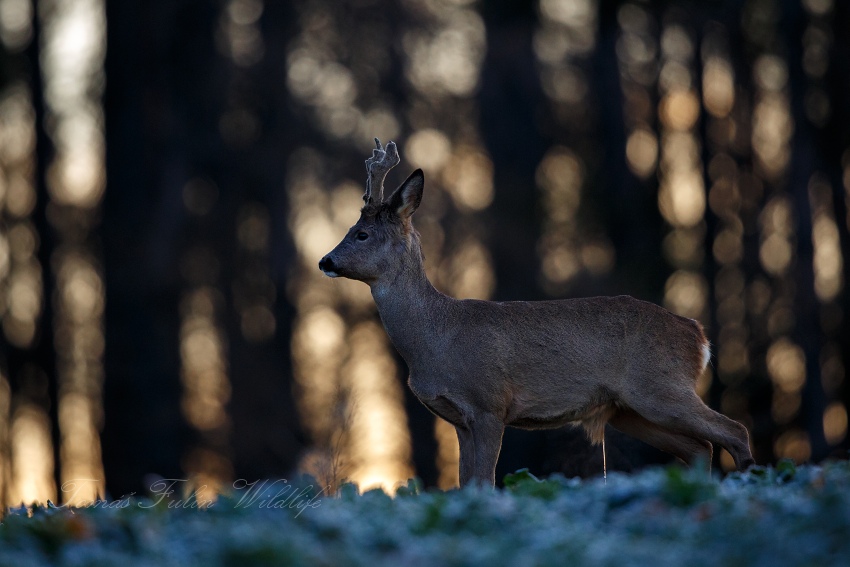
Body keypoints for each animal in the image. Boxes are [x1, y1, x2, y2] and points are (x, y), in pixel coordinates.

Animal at [319, 139, 756, 487]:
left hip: (660, 386)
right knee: (700, 447)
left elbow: (484, 481)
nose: (325, 260)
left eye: (361, 234)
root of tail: (698, 336)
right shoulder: (460, 420)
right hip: (629, 410)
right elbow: (465, 484)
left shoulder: (489, 403)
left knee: (734, 430)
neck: (435, 339)